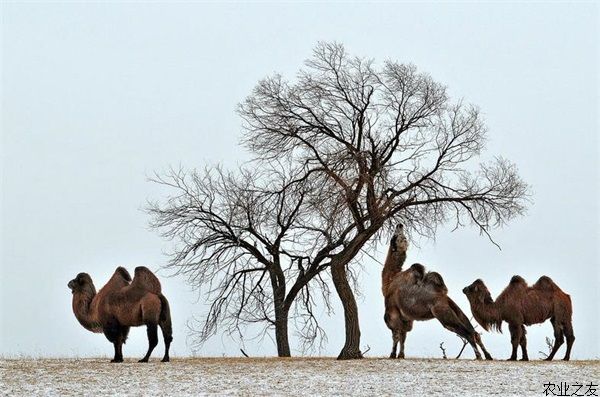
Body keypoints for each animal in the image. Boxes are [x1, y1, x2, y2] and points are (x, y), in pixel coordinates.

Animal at [384, 224, 492, 360]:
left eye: (399, 236)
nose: (400, 225)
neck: (390, 280)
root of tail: (446, 298)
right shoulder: (407, 318)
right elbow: (403, 335)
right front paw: (401, 355)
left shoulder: (391, 310)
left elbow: (396, 334)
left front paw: (392, 355)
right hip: (457, 311)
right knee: (475, 333)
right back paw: (488, 356)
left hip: (443, 314)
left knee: (467, 333)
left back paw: (479, 356)